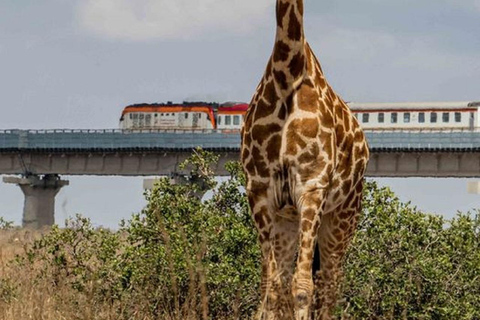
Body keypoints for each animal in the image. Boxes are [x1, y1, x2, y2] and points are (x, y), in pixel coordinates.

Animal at [242, 0, 370, 318]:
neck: (287, 75)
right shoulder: (259, 190)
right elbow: (273, 288)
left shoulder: (312, 186)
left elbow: (302, 287)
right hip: (287, 221)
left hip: (342, 219)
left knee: (328, 285)